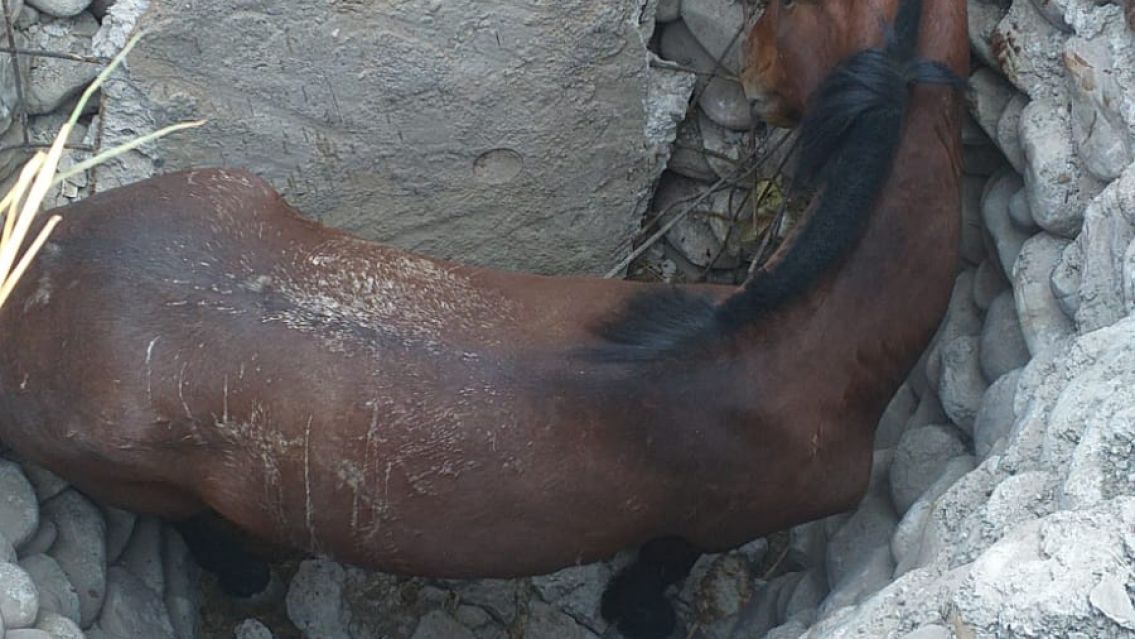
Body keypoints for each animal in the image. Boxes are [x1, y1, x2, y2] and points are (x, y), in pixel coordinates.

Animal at [0, 0, 966, 636]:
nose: (754, 85)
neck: (777, 351)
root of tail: (36, 271)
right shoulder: (707, 527)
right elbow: (650, 579)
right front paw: (637, 615)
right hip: (132, 477)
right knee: (190, 524)